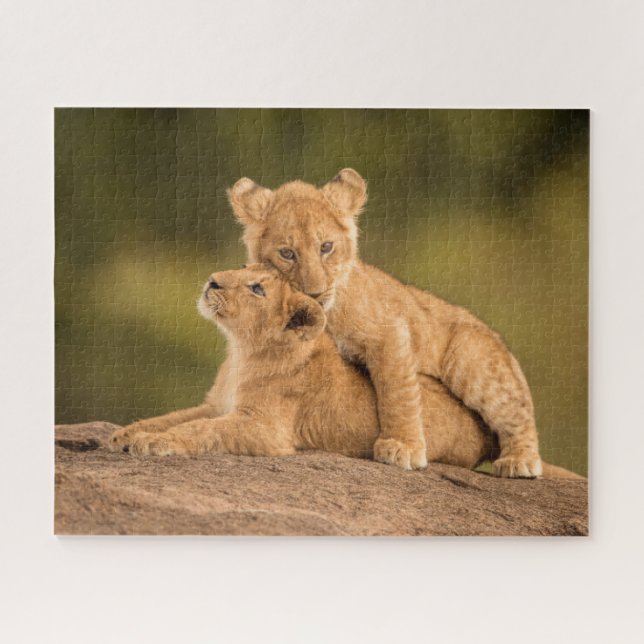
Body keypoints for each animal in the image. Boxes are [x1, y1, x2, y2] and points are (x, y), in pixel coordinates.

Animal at [224, 169, 543, 477]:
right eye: (287, 253)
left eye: (326, 247)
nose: (315, 292)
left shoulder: (389, 333)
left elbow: (397, 393)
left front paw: (403, 447)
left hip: (470, 356)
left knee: (517, 411)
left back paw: (520, 461)